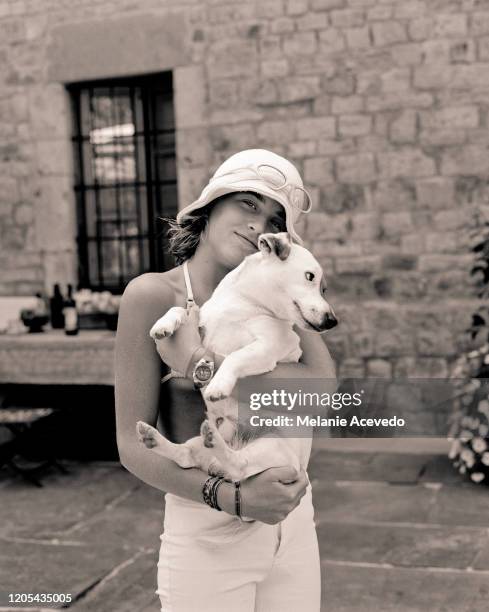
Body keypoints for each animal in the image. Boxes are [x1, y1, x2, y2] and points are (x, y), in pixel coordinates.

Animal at [135, 233, 338, 482]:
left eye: (324, 289)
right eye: (310, 276)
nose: (332, 321)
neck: (243, 303)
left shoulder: (270, 346)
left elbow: (235, 357)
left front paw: (218, 385)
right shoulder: (202, 323)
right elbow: (180, 309)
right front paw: (162, 325)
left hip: (273, 444)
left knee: (239, 466)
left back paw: (215, 442)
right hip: (204, 443)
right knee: (185, 456)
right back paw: (153, 437)